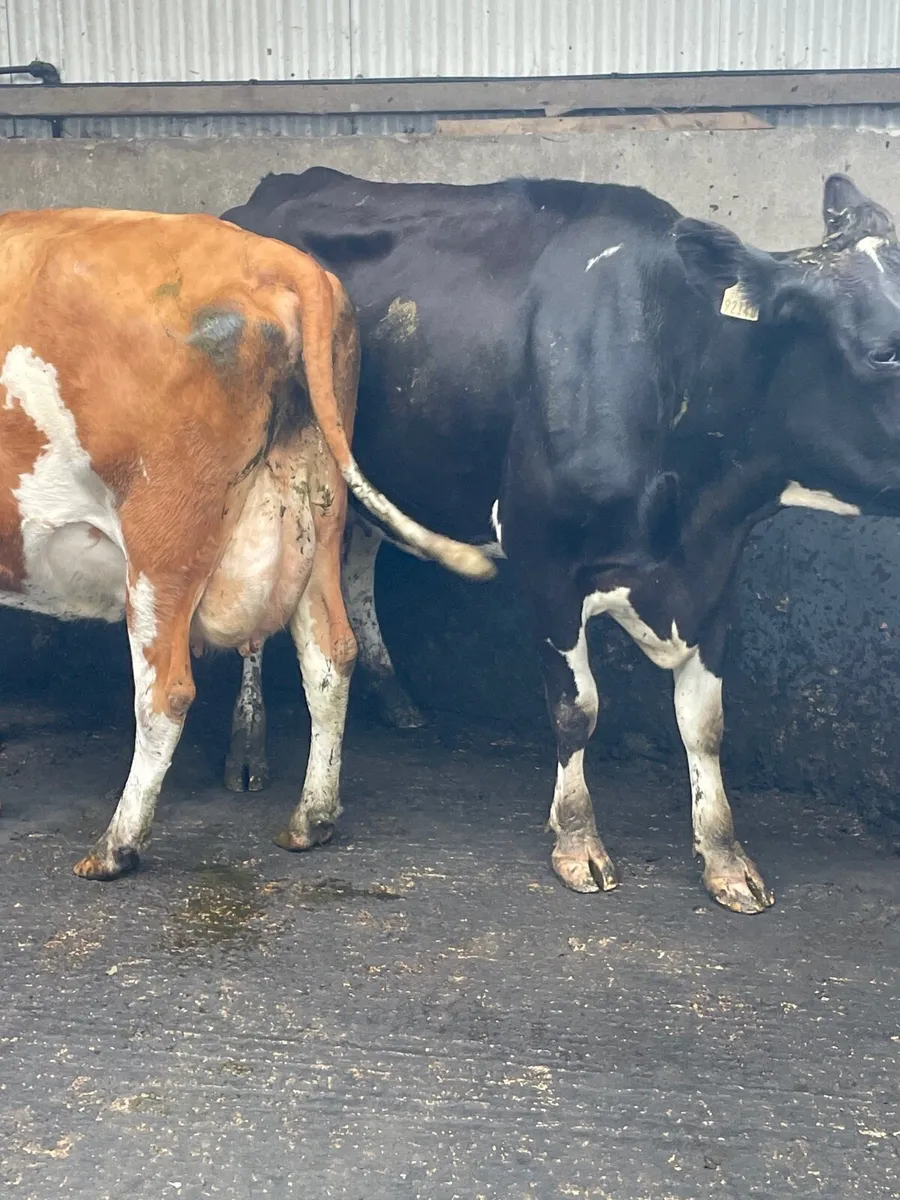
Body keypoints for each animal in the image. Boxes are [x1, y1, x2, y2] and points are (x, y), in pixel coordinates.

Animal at [0, 206, 493, 879]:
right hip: (316, 512)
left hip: (163, 542)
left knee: (166, 692)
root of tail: (274, 259)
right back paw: (311, 820)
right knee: (331, 653)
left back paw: (116, 847)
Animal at [222, 167, 900, 915]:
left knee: (361, 557)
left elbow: (706, 722)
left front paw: (725, 855)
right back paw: (246, 748)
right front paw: (578, 841)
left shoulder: (716, 567)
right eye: (883, 352)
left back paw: (394, 695)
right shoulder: (542, 557)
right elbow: (578, 709)